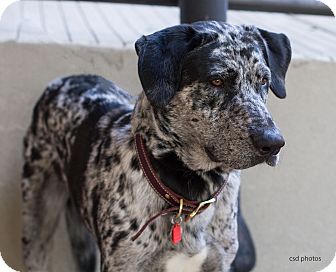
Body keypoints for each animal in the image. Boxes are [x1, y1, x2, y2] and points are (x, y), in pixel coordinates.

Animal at [21, 21, 292, 272]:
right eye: (217, 80)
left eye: (264, 81)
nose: (273, 143)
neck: (188, 192)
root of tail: (64, 80)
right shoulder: (123, 264)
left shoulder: (220, 262)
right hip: (37, 218)